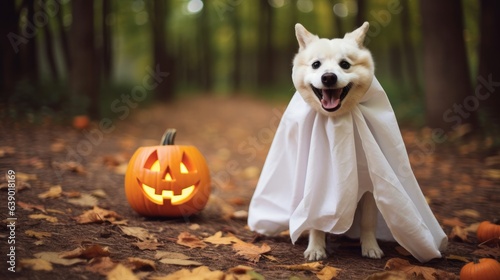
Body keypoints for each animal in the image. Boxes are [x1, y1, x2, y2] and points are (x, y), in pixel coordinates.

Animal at [290, 23, 382, 262]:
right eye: (316, 64)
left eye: (345, 64)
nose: (329, 77)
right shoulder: (315, 184)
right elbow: (315, 221)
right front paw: (315, 248)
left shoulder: (369, 185)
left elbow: (368, 221)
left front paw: (370, 247)